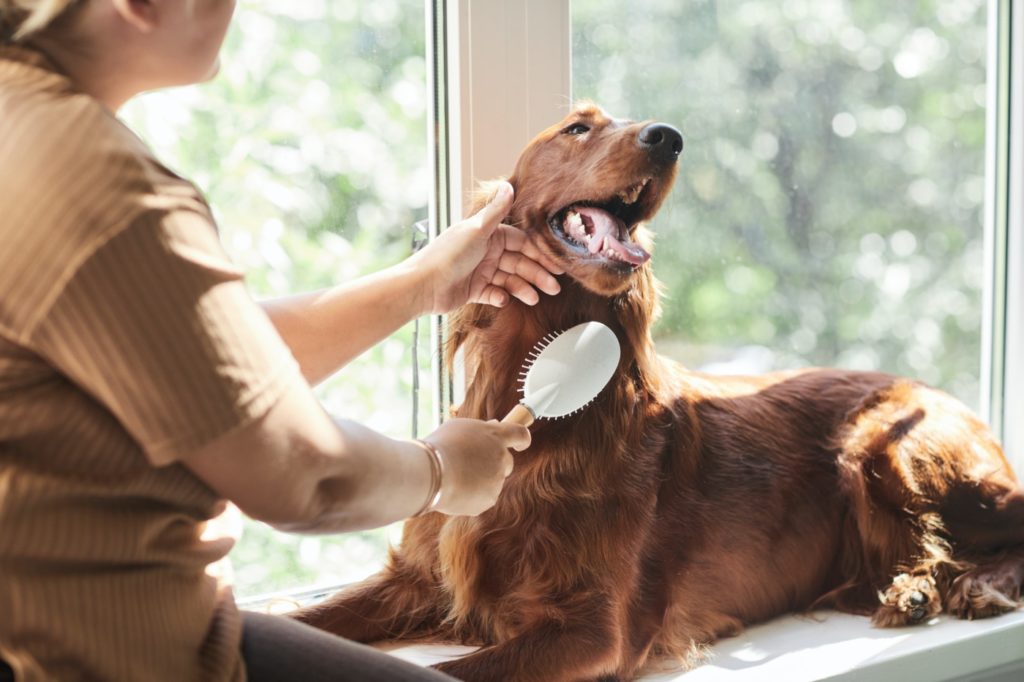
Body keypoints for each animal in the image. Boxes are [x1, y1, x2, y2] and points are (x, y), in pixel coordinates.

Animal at [290, 102, 1024, 679]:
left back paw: (978, 587)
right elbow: (309, 620)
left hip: (890, 452)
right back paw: (917, 591)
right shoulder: (419, 578)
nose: (669, 137)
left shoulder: (595, 630)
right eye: (578, 127)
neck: (542, 402)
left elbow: (453, 669)